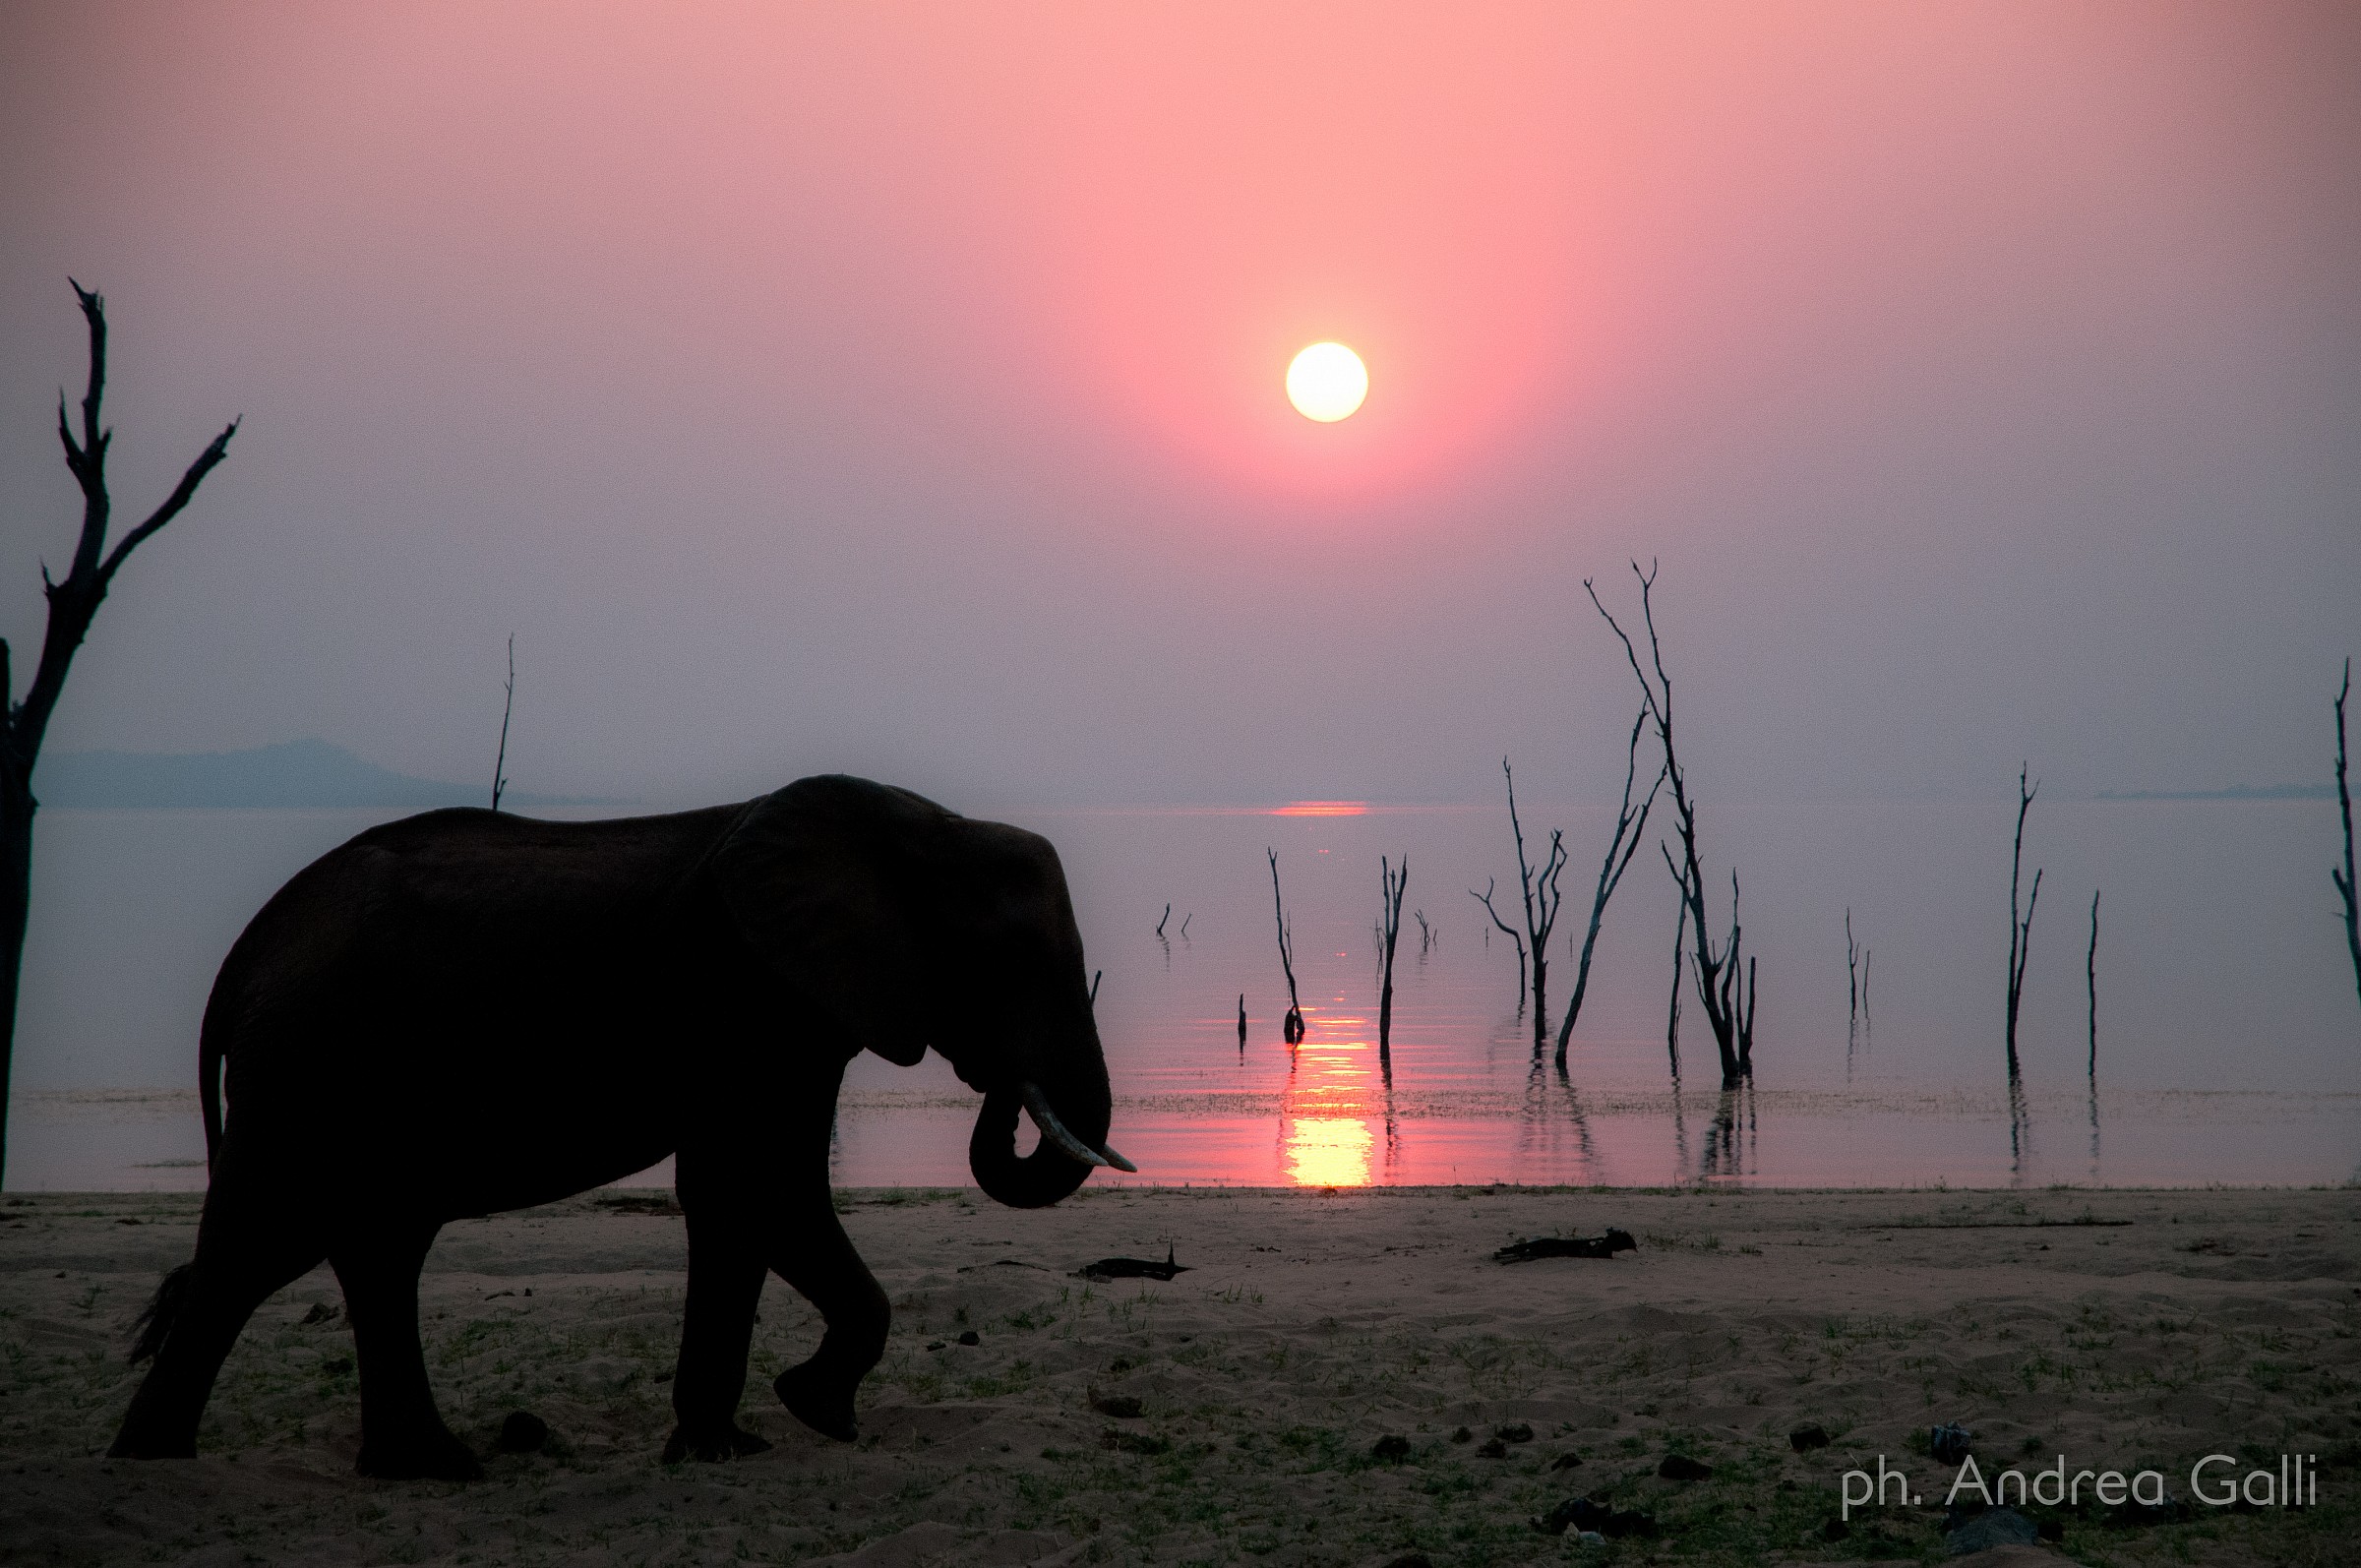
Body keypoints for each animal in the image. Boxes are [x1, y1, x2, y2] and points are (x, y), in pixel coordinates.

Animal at [107, 773, 1131, 1478]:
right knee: (260, 1244)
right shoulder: (748, 996)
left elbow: (766, 1194)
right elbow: (748, 1188)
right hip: (308, 1063)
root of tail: (251, 946)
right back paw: (156, 1464)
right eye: (1013, 955)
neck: (916, 821)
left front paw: (787, 1423)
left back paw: (427, 1468)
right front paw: (760, 1435)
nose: (1003, 1079)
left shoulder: (794, 1013)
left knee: (368, 1247)